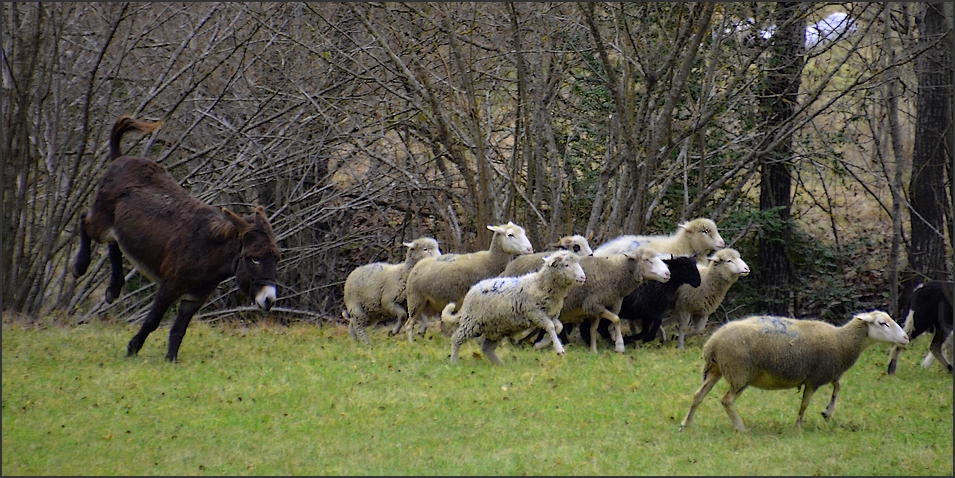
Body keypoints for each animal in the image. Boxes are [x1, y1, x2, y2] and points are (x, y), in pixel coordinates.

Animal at [404, 222, 536, 342]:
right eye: (510, 235)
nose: (530, 249)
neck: (490, 261)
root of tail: (418, 264)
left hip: (429, 304)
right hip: (415, 299)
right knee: (409, 324)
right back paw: (411, 343)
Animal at [442, 250, 592, 362]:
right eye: (566, 265)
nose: (583, 278)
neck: (541, 285)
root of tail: (472, 289)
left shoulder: (551, 314)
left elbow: (558, 327)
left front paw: (542, 344)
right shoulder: (535, 312)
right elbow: (550, 327)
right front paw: (559, 349)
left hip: (496, 327)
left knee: (486, 348)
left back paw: (499, 364)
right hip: (471, 322)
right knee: (456, 339)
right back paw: (454, 362)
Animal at [532, 248, 672, 352]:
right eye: (646, 259)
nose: (667, 274)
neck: (614, 274)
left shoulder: (598, 308)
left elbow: (593, 329)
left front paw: (593, 351)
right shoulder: (594, 304)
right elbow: (616, 319)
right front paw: (619, 346)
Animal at [680, 312, 912, 432]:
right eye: (883, 323)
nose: (906, 338)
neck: (842, 342)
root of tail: (712, 342)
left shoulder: (827, 372)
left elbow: (838, 386)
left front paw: (827, 412)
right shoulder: (815, 377)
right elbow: (805, 403)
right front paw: (799, 424)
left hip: (716, 369)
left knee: (698, 395)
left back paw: (686, 424)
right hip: (739, 373)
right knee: (726, 400)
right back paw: (740, 427)